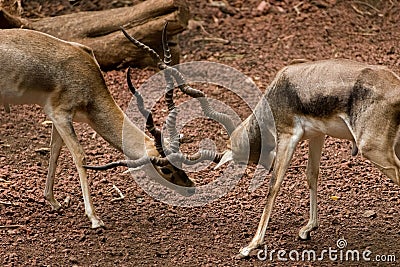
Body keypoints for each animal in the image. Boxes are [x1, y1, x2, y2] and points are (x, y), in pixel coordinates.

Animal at [0, 28, 195, 230]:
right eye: (165, 169)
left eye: (181, 161)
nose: (190, 187)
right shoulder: (61, 115)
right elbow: (80, 156)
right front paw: (94, 218)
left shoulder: (56, 117)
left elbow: (55, 150)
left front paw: (52, 201)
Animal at [113, 27, 400, 260]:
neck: (280, 90)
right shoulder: (317, 135)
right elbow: (312, 175)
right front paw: (308, 228)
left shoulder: (288, 136)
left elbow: (273, 186)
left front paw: (251, 245)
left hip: (374, 150)